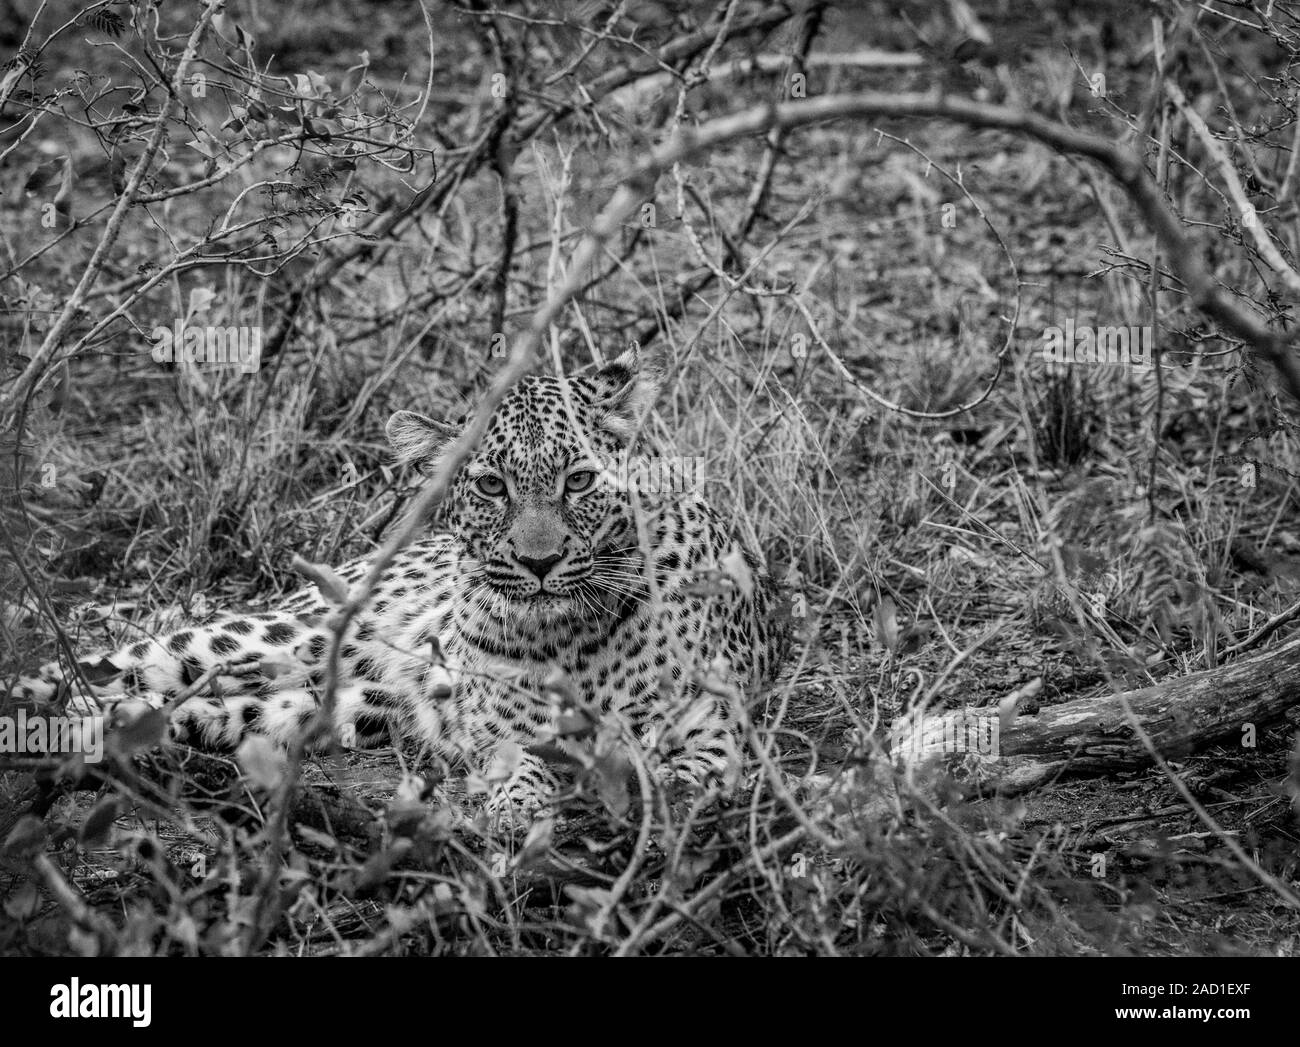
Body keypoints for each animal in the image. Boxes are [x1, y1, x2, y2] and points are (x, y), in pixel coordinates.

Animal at [15, 351, 785, 827]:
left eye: (580, 480)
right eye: (491, 486)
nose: (538, 562)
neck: (572, 635)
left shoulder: (711, 735)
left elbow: (672, 775)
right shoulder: (506, 734)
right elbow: (523, 769)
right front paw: (519, 808)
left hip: (321, 702)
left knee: (181, 706)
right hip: (273, 635)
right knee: (106, 665)